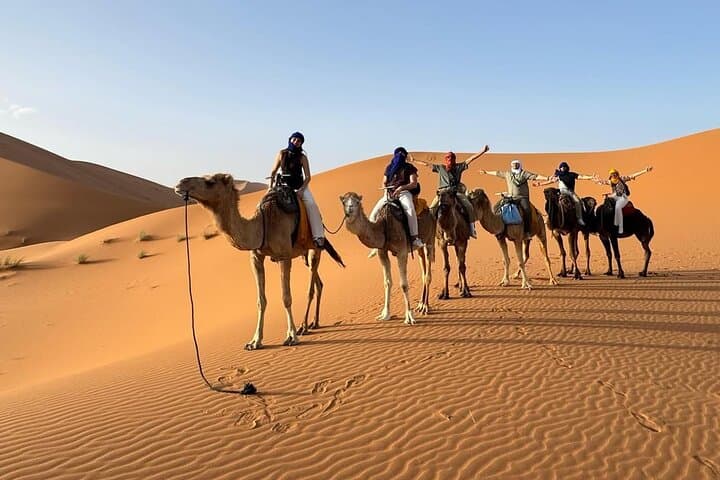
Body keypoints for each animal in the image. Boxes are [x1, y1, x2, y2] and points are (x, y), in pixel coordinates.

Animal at [175, 173, 344, 350]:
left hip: (315, 248)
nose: (181, 183)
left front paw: (291, 336)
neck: (263, 225)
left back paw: (303, 327)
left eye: (210, 181)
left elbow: (286, 297)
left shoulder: (284, 256)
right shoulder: (256, 257)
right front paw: (255, 341)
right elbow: (260, 301)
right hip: (303, 254)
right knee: (319, 284)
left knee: (311, 288)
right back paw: (314, 323)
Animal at [340, 192, 435, 324]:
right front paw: (385, 314)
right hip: (420, 245)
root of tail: (429, 210)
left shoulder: (402, 251)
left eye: (357, 202)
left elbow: (404, 285)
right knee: (423, 268)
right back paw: (421, 305)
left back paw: (425, 307)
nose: (349, 210)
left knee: (428, 272)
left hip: (430, 237)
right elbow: (387, 282)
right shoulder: (382, 252)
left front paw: (409, 317)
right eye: (343, 202)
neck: (384, 225)